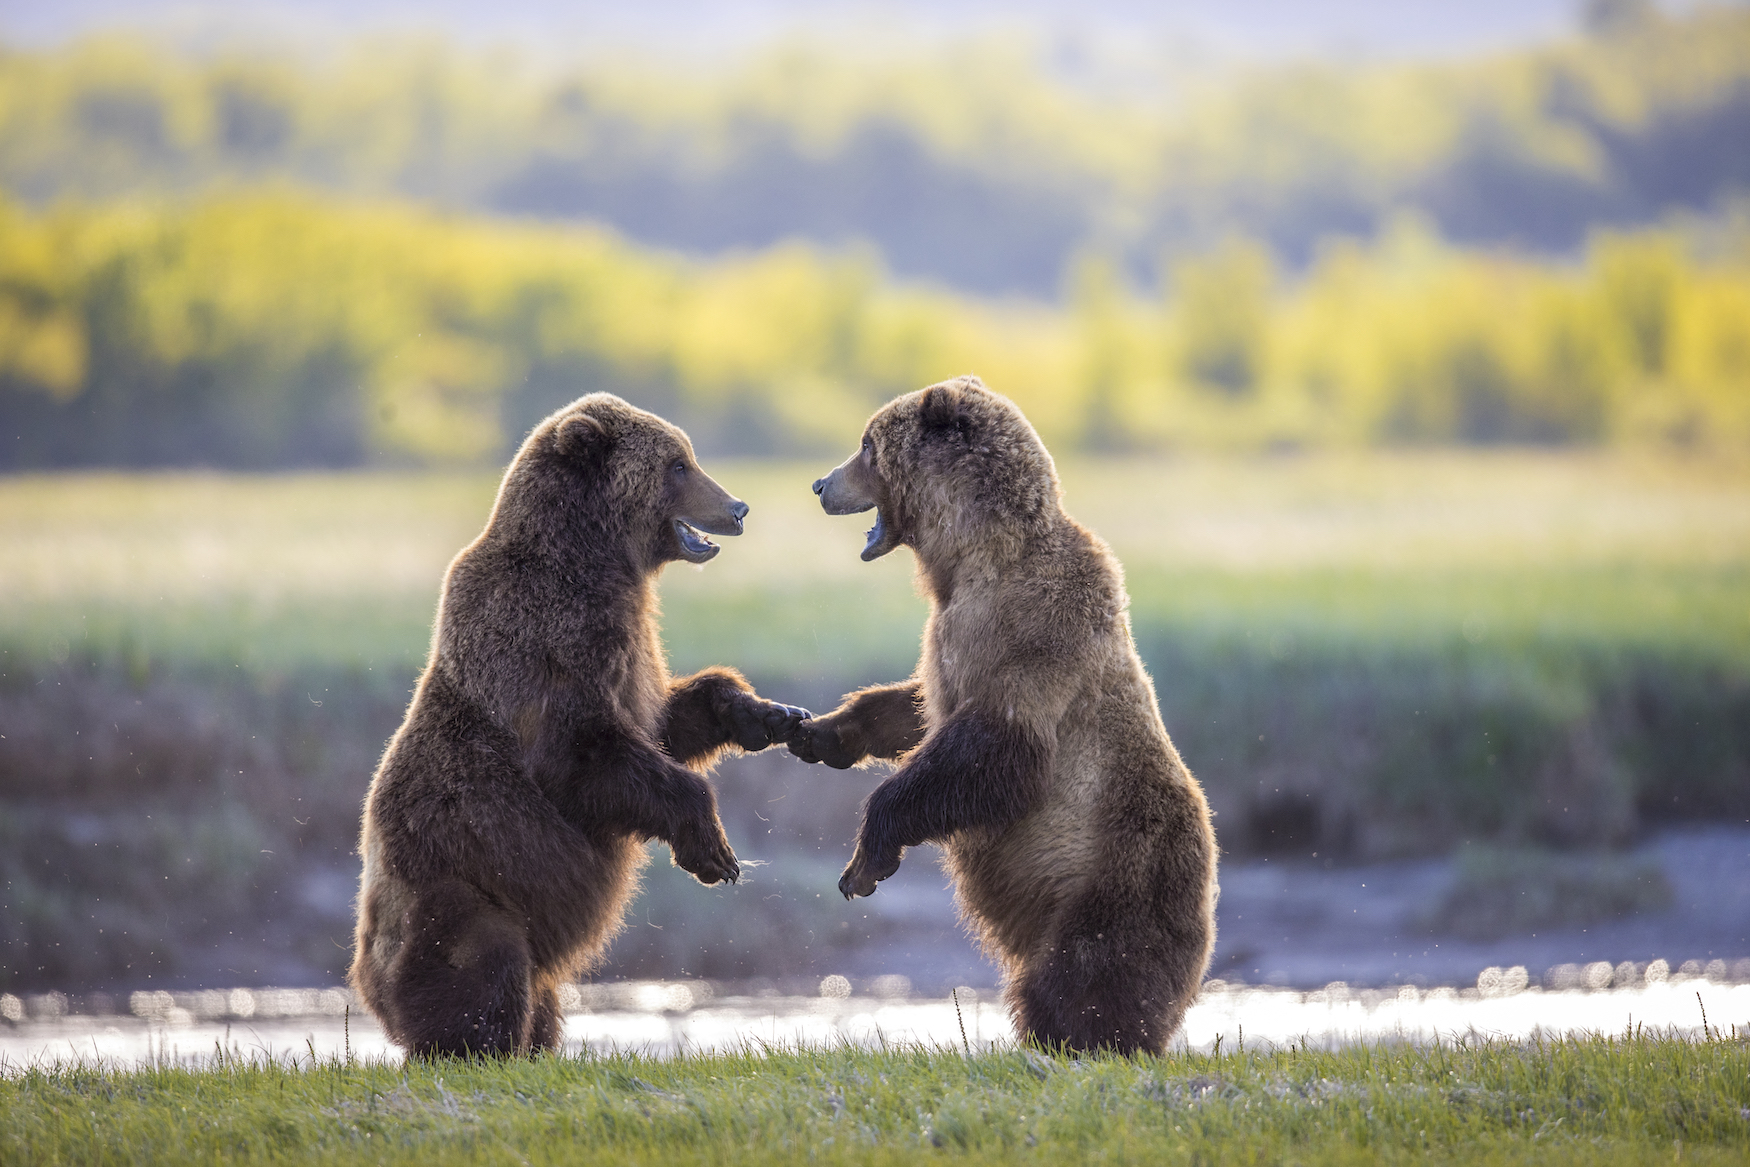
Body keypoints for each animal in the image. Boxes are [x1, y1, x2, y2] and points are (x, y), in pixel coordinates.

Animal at [350, 393, 808, 1058]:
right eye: (677, 465)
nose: (738, 508)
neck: (596, 559)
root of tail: (366, 983)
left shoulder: (630, 641)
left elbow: (663, 722)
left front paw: (769, 715)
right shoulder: (549, 642)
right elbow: (585, 752)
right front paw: (714, 852)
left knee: (538, 997)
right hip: (461, 894)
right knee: (483, 974)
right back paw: (483, 1050)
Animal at [787, 375, 1218, 1055]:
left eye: (867, 445)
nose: (820, 483)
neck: (971, 560)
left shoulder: (1030, 631)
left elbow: (996, 745)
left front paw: (865, 863)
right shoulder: (949, 638)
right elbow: (923, 710)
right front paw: (824, 732)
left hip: (1113, 874)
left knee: (1087, 972)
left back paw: (1077, 1036)